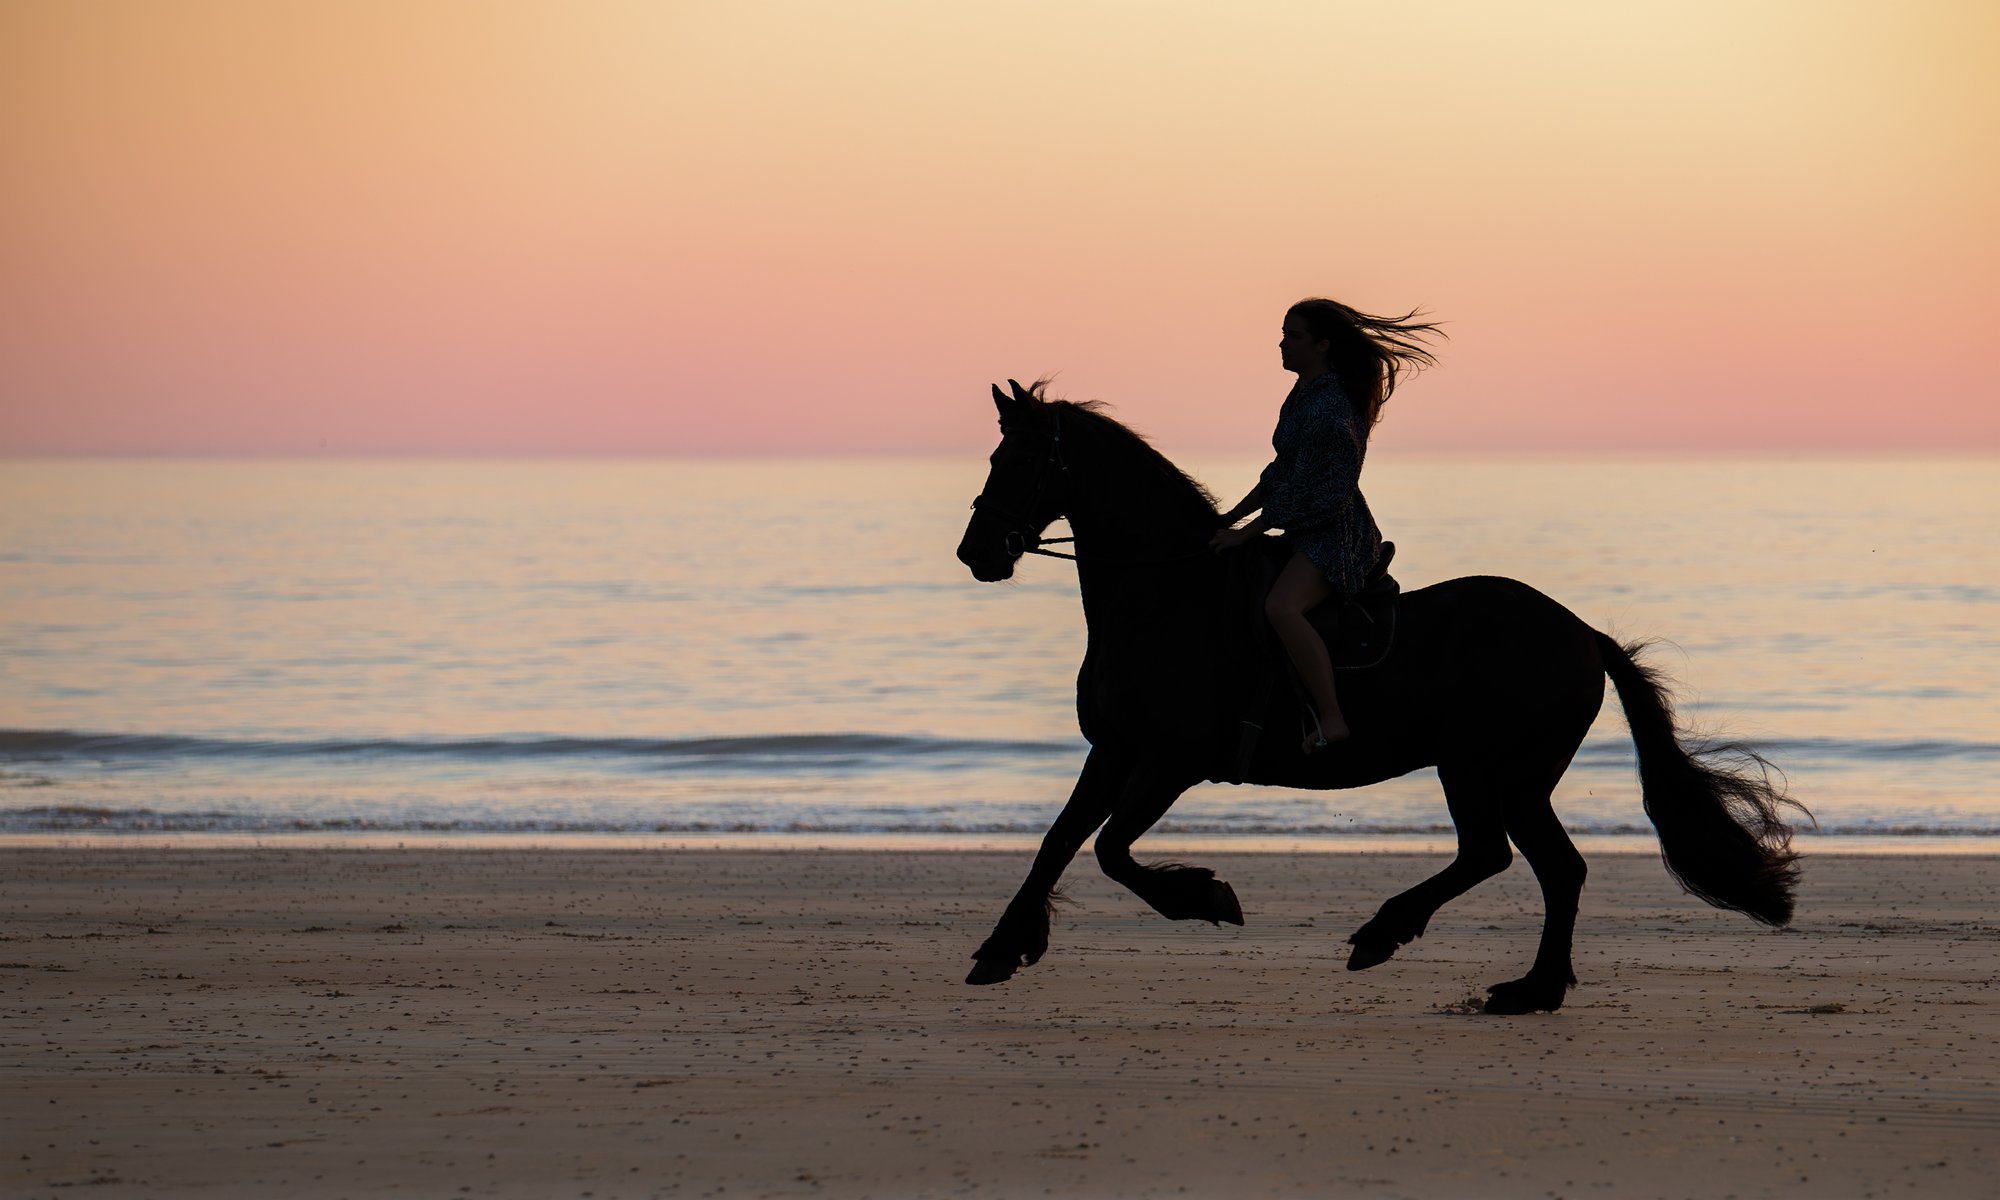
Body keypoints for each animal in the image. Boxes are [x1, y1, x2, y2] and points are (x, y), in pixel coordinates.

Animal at [953, 380, 1803, 1014]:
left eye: (1021, 460)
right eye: (996, 453)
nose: (976, 552)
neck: (1167, 596)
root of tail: (1580, 632)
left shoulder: (1170, 760)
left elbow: (1110, 850)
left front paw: (1206, 897)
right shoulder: (1115, 750)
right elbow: (1060, 840)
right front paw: (1001, 949)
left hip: (1484, 767)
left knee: (1501, 855)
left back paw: (1397, 938)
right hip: (1512, 776)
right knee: (1551, 867)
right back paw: (1528, 987)